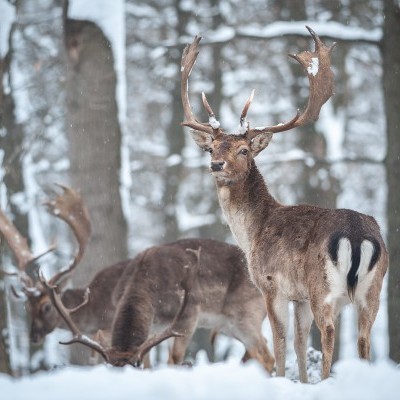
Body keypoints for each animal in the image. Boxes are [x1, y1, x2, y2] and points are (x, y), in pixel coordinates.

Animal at [0, 186, 276, 370]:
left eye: (47, 306)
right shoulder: (149, 331)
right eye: (26, 306)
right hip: (229, 325)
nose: (33, 337)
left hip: (245, 315)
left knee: (266, 355)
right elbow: (147, 362)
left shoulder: (188, 315)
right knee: (257, 351)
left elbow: (173, 361)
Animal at [181, 26, 388, 382]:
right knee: (364, 338)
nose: (216, 165)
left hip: (323, 287)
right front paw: (301, 382)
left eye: (244, 150)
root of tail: (358, 235)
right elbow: (300, 341)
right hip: (374, 289)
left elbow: (279, 341)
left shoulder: (270, 285)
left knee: (329, 331)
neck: (252, 232)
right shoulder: (299, 297)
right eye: (212, 148)